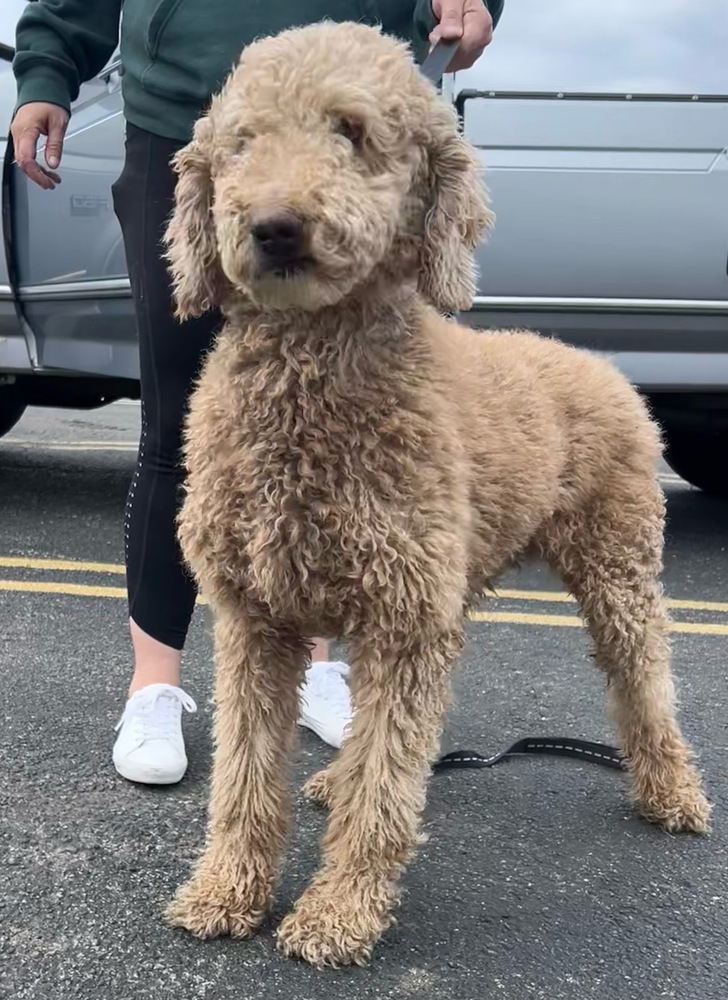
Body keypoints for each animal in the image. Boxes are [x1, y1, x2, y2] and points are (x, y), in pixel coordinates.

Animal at [161, 17, 712, 968]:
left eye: (350, 130)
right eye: (241, 142)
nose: (273, 227)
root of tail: (601, 365)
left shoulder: (405, 622)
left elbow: (386, 791)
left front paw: (339, 912)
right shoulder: (256, 619)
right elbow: (243, 776)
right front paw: (227, 889)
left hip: (617, 564)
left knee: (645, 679)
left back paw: (673, 790)